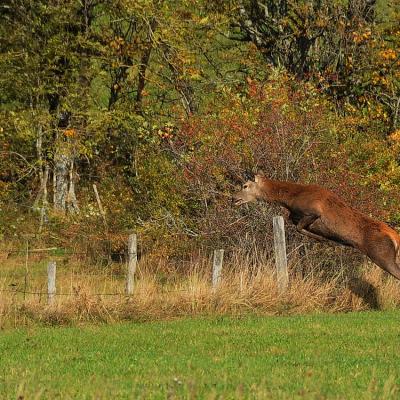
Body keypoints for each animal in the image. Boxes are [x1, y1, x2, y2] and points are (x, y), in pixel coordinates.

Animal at [231, 175, 400, 282]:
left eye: (245, 186)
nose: (233, 198)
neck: (290, 199)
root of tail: (395, 236)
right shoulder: (294, 217)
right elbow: (295, 224)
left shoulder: (314, 211)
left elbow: (299, 227)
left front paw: (326, 240)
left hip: (381, 255)